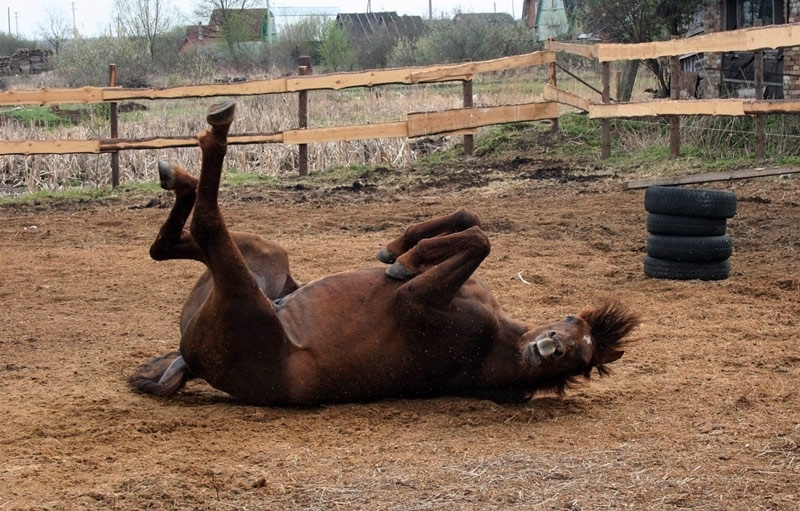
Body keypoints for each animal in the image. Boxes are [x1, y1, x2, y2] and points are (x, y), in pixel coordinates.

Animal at [130, 100, 640, 406]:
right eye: (571, 323)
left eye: (579, 357)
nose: (550, 347)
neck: (499, 339)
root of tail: (190, 362)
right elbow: (470, 219)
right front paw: (399, 247)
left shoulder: (414, 303)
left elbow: (477, 240)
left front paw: (404, 260)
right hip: (270, 260)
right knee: (169, 244)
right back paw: (178, 175)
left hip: (243, 294)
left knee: (205, 224)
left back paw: (214, 132)